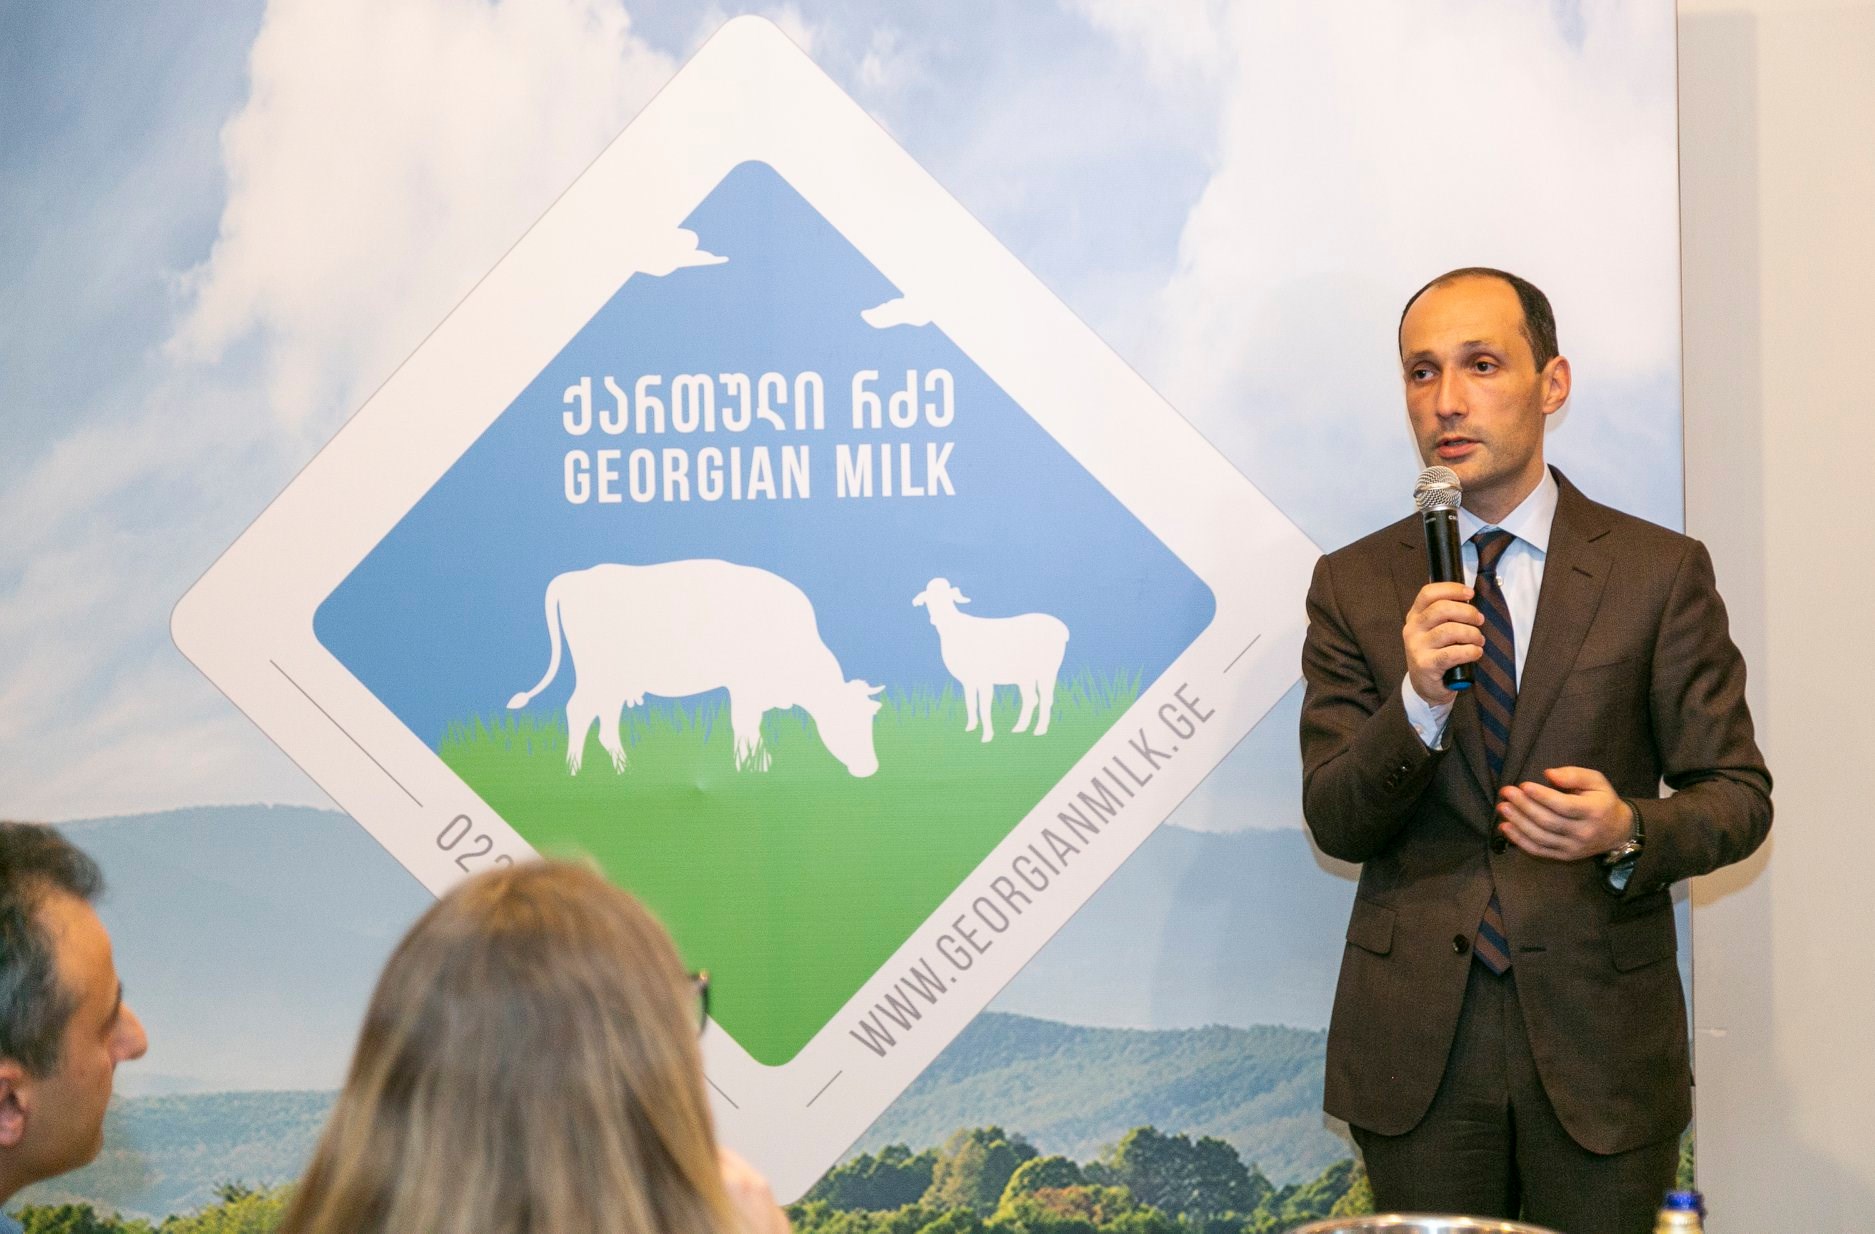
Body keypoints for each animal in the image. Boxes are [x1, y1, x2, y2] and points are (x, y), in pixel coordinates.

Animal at [506, 561, 883, 777]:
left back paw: (622, 769)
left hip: (613, 681)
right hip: (597, 675)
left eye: (871, 718)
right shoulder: (745, 687)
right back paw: (575, 770)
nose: (870, 768)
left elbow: (751, 728)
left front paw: (757, 765)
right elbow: (745, 726)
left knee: (604, 722)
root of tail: (575, 577)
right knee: (579, 711)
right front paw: (752, 767)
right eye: (848, 720)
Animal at [912, 578, 1069, 743]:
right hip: (1026, 676)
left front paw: (987, 736)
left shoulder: (984, 680)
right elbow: (970, 703)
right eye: (928, 599)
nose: (935, 619)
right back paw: (1020, 728)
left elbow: (984, 708)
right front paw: (970, 728)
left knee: (1046, 699)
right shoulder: (968, 681)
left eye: (948, 598)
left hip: (1048, 670)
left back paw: (1040, 730)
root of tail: (1064, 630)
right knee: (1031, 699)